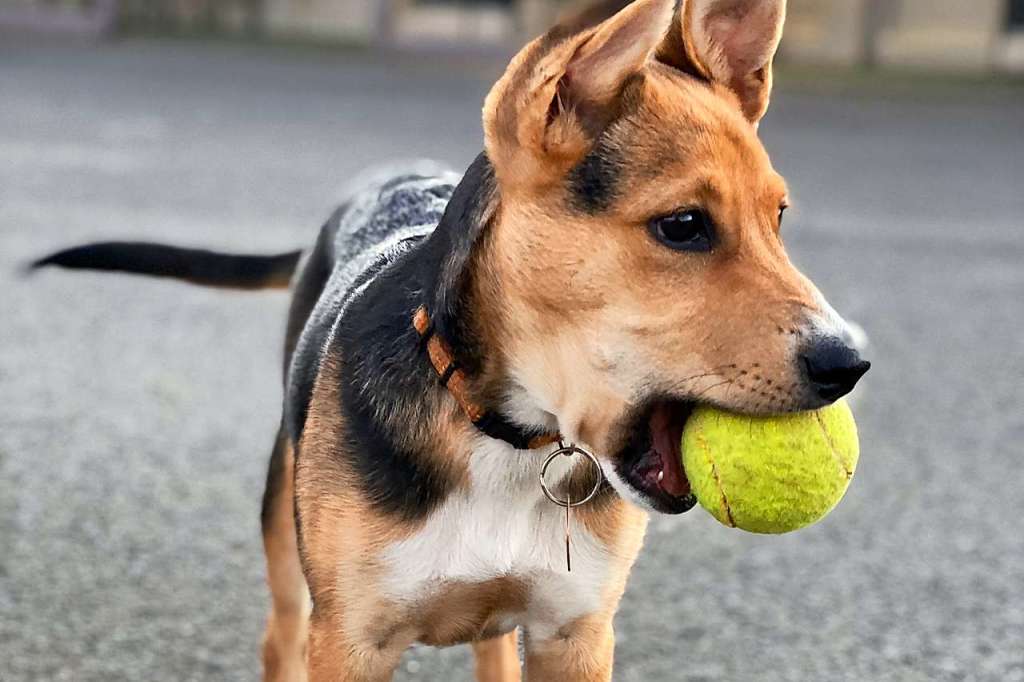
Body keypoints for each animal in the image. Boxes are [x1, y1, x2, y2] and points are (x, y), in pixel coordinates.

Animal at [32, 0, 868, 675]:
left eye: (779, 219)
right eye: (684, 225)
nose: (851, 362)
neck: (502, 436)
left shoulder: (574, 634)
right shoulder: (351, 641)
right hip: (284, 530)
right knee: (279, 636)